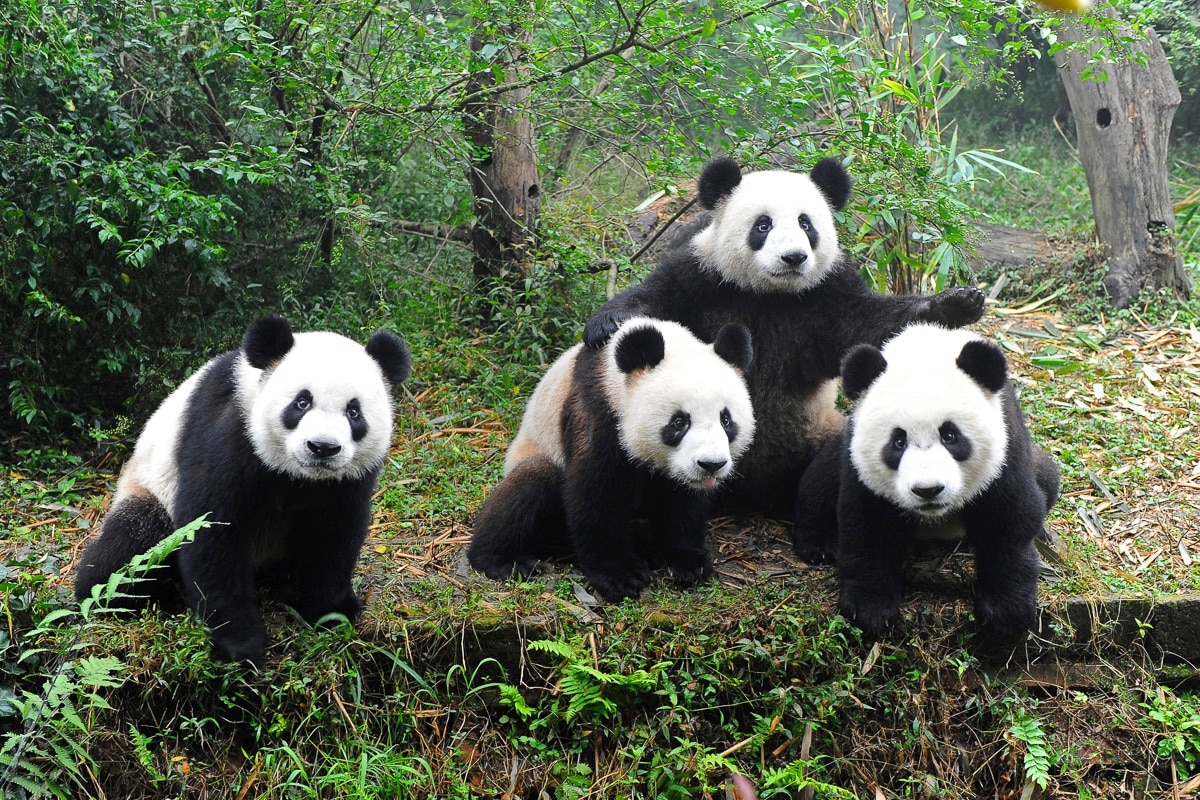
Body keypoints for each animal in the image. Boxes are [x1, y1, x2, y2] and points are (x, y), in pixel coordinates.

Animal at [76, 316, 412, 666]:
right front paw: (240, 644)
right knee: (133, 545)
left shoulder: (347, 479)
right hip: (149, 487)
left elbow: (334, 534)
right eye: (302, 402)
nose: (322, 447)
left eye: (354, 412)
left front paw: (333, 612)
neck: (299, 475)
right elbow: (212, 531)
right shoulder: (229, 432)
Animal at [465, 316, 753, 597]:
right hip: (536, 452)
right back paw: (503, 560)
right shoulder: (596, 411)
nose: (711, 464)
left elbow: (682, 501)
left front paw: (686, 562)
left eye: (726, 419)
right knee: (530, 484)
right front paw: (621, 576)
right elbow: (596, 492)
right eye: (679, 422)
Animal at [580, 155, 984, 513]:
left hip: (818, 433)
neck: (770, 294)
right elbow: (654, 299)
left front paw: (954, 304)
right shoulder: (701, 279)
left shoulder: (826, 294)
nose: (793, 257)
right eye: (763, 225)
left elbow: (869, 325)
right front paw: (606, 325)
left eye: (806, 224)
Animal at [796, 323, 1060, 652]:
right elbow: (866, 526)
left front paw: (1006, 612)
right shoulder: (859, 463)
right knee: (821, 480)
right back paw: (818, 544)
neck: (926, 349)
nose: (928, 490)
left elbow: (1011, 518)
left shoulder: (1006, 447)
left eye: (950, 435)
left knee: (1048, 478)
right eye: (898, 441)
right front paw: (870, 609)